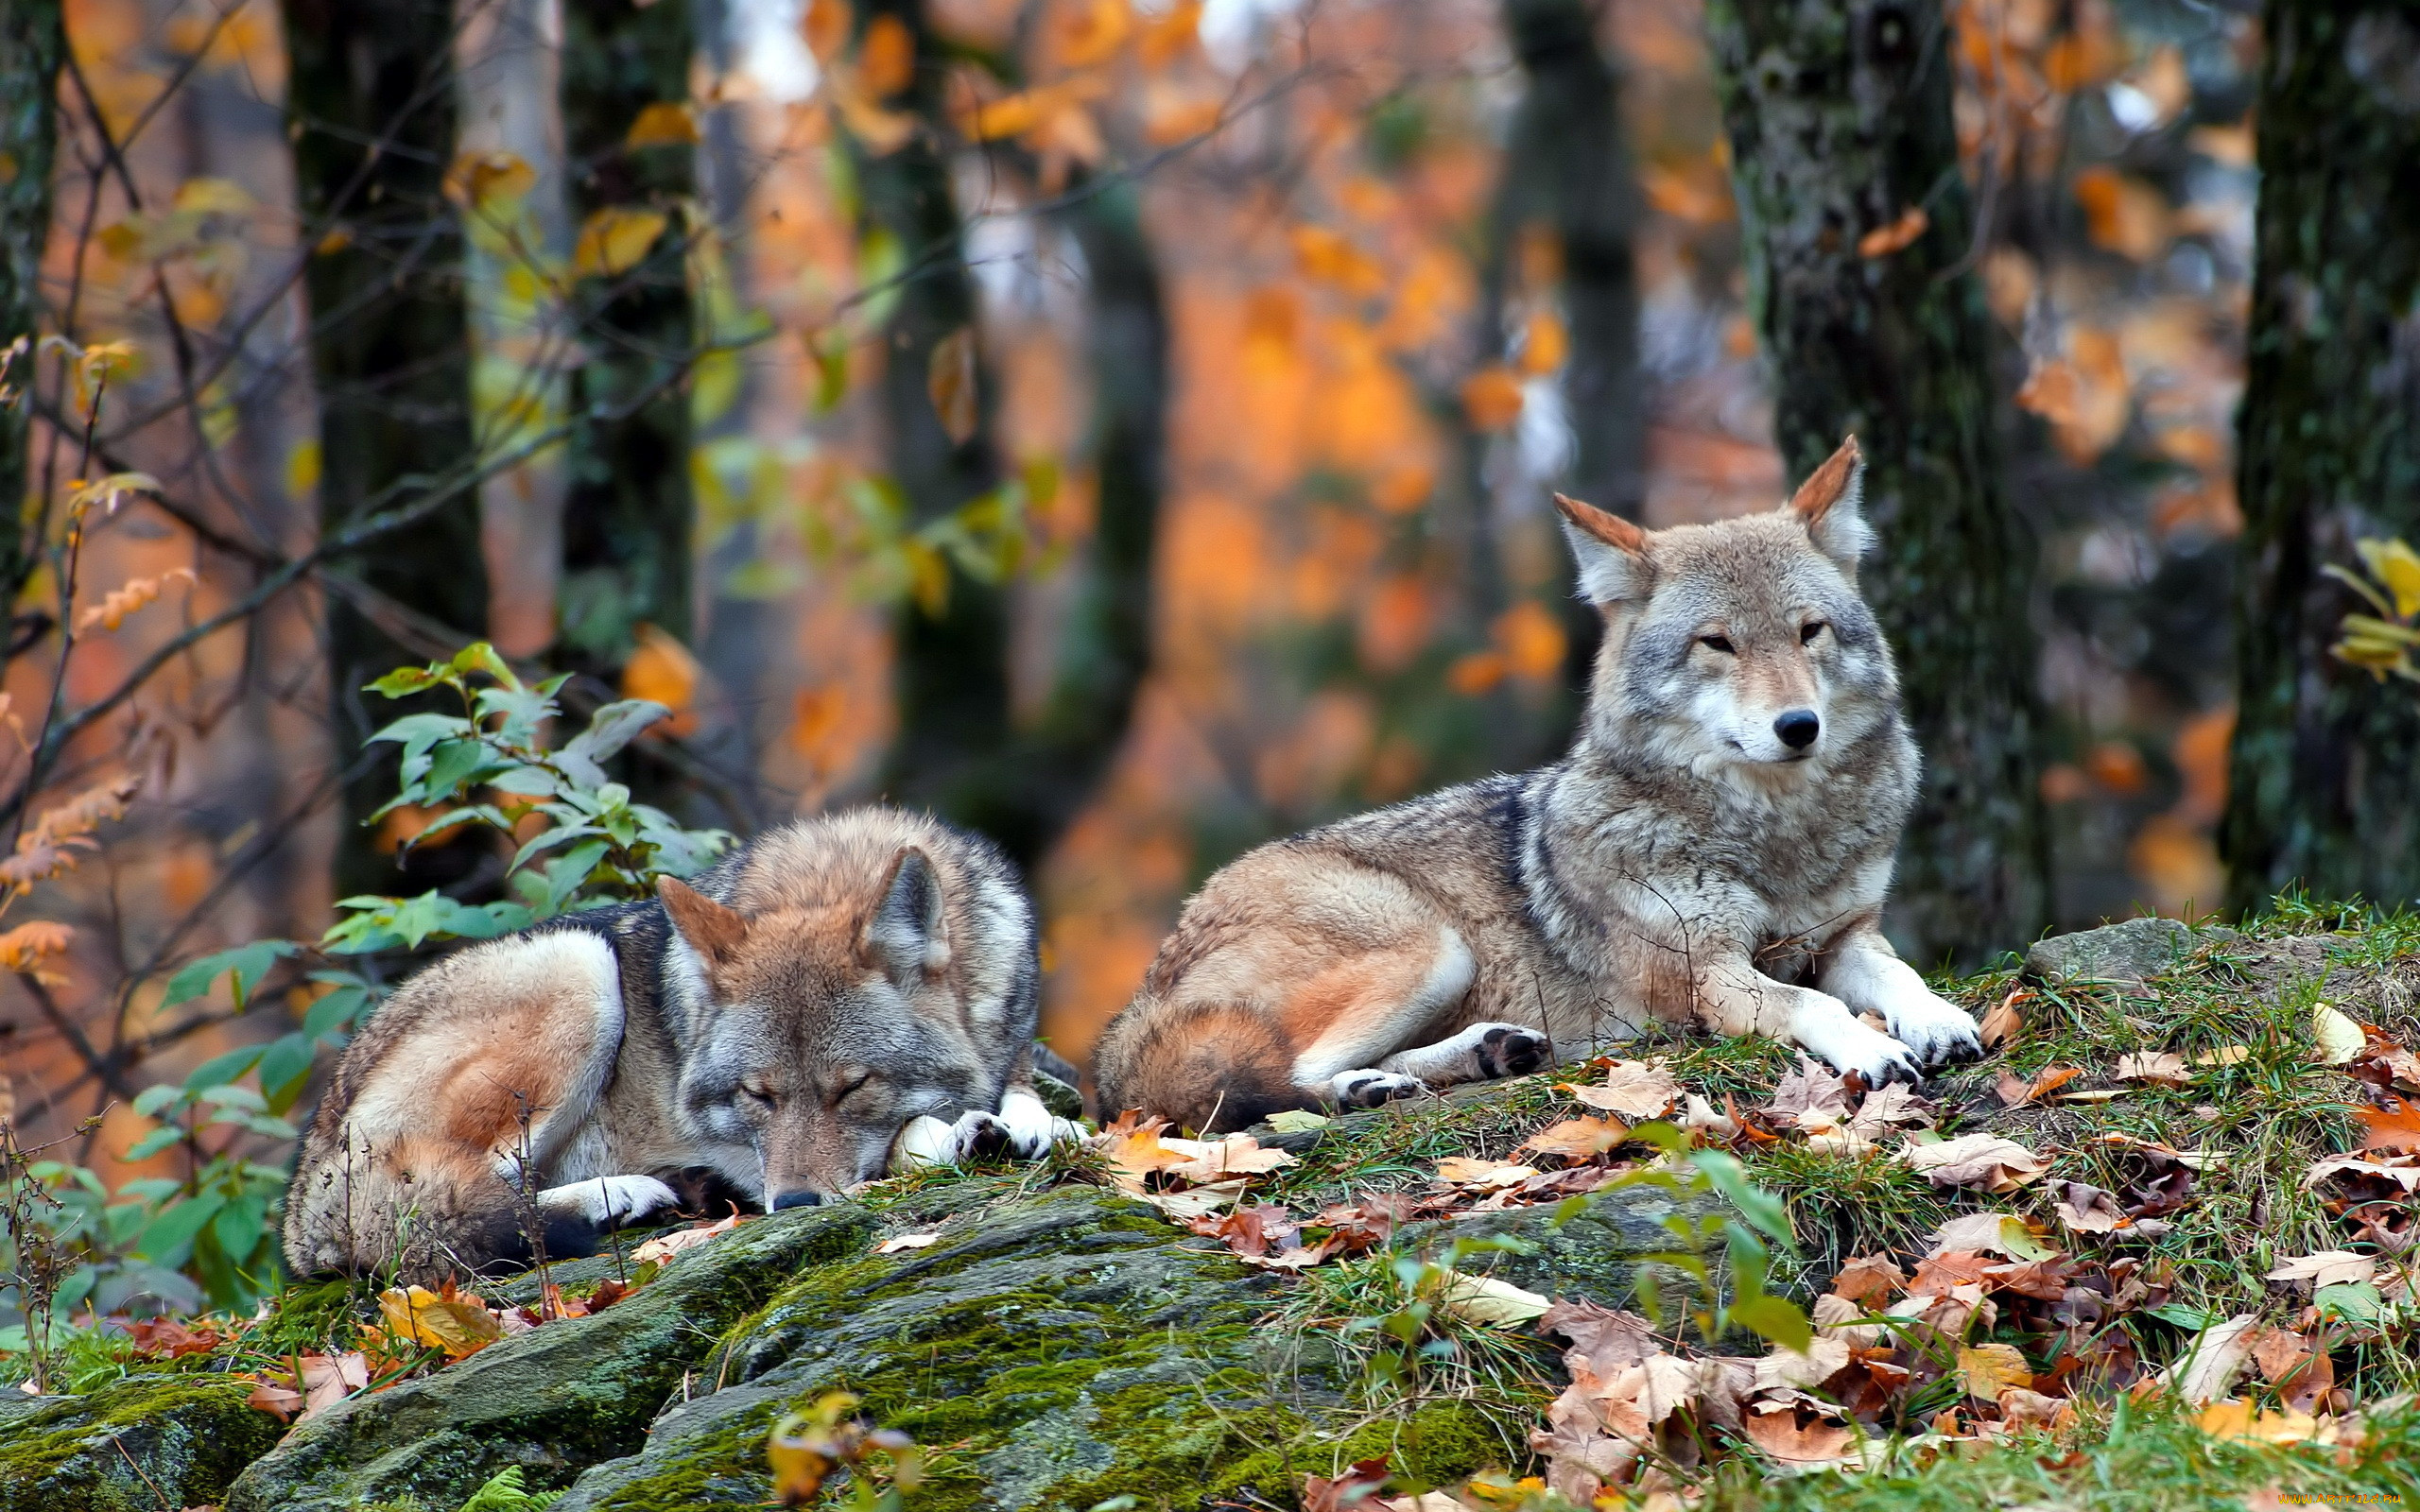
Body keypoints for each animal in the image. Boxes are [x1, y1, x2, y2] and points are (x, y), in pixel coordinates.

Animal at [280, 802, 1069, 1277]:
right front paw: (962, 1132)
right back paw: (621, 1195)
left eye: (853, 1086)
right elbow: (911, 1138)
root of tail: (303, 1197)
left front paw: (1031, 1122)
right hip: (579, 972)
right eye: (757, 1095)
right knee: (459, 1205)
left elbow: (1028, 1093)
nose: (794, 1206)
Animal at [1098, 435, 1984, 1132]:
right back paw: (1367, 1087)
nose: (1799, 726)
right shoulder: (1707, 973)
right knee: (1291, 1078)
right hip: (1430, 945)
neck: (1772, 837)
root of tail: (1134, 1006)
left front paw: (1940, 1020)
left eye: (1809, 632)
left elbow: (1898, 974)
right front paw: (1873, 1047)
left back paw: (1487, 1052)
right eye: (1718, 644)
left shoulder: (1844, 937)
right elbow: (1816, 1005)